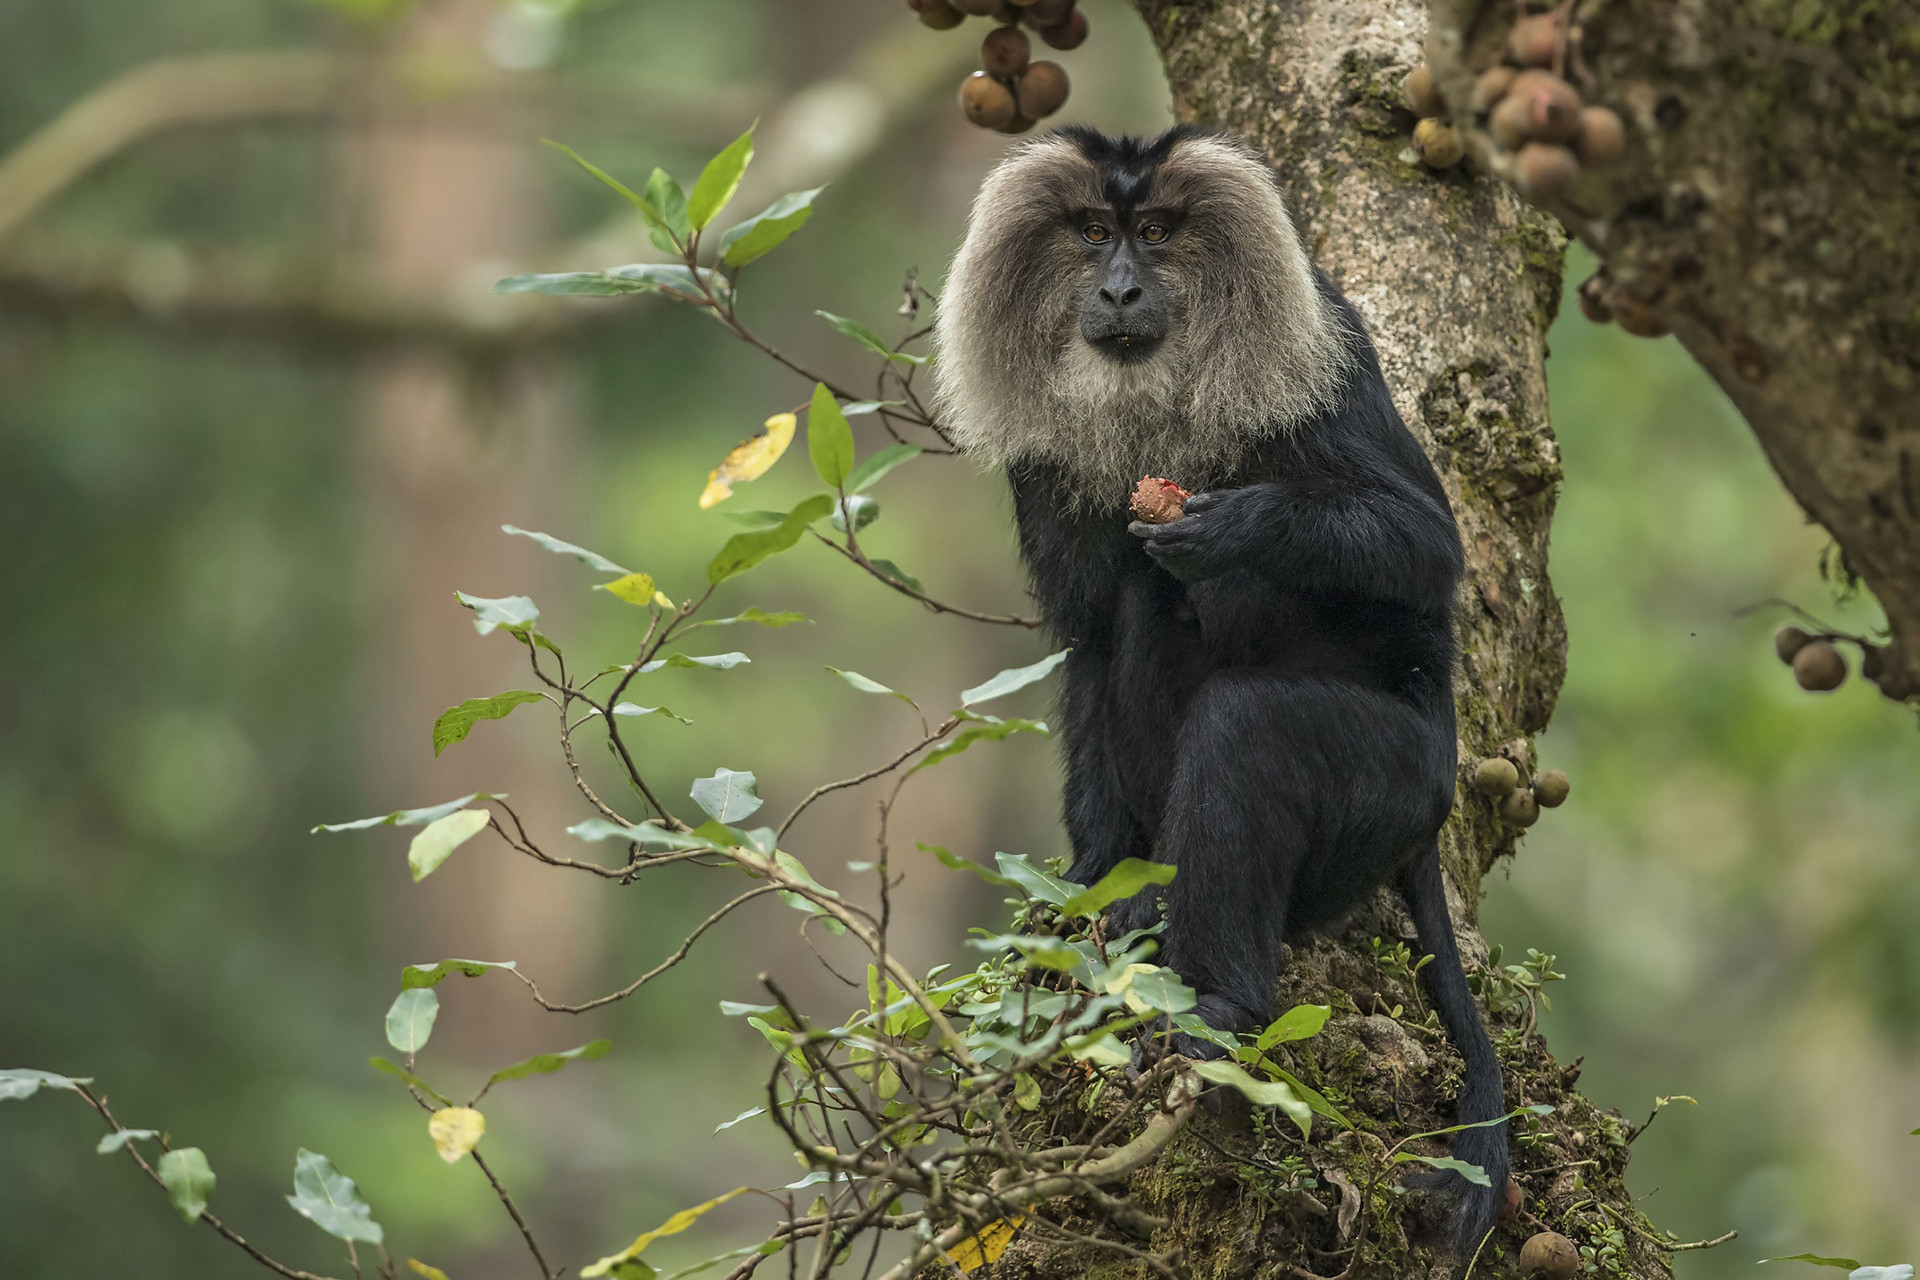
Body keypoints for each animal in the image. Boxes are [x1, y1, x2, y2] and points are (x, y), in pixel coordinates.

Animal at [930, 125, 1507, 1250]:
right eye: (1091, 234)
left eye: (1155, 234)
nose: (1117, 288)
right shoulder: (1046, 470)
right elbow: (1091, 637)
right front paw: (1095, 877)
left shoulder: (1330, 360)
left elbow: (1424, 545)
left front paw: (1236, 525)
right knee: (1142, 602)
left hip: (1401, 782)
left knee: (1248, 729)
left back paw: (1220, 1012)